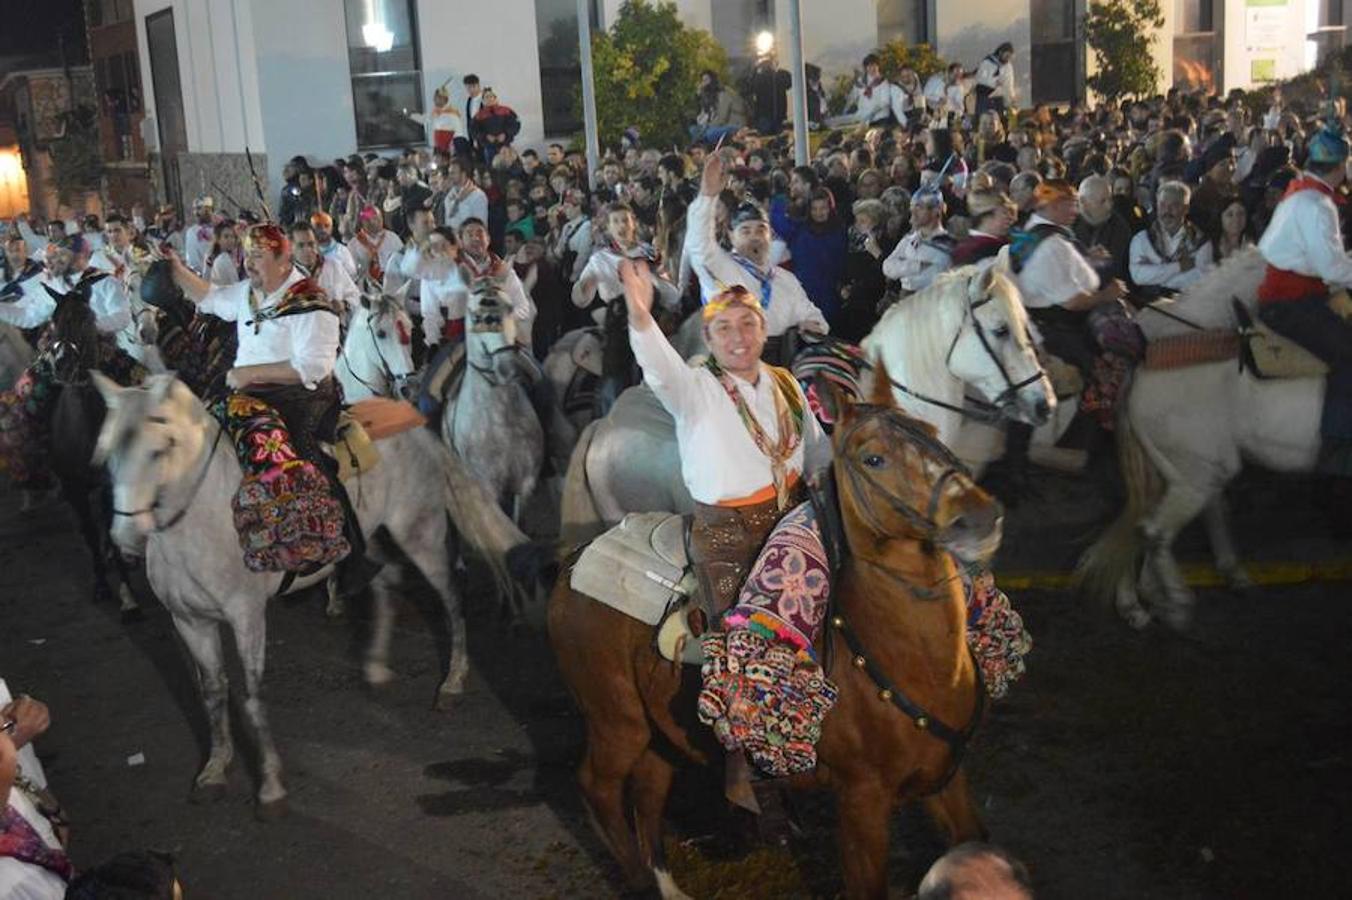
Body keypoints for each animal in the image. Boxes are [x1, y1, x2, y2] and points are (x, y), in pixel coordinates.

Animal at [91, 370, 527, 810]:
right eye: (107, 454)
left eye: (159, 450)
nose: (124, 539)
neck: (199, 520)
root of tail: (420, 431)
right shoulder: (189, 621)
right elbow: (213, 693)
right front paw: (214, 769)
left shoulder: (247, 617)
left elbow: (251, 695)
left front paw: (270, 785)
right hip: (371, 538)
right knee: (386, 581)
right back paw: (376, 667)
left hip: (420, 532)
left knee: (450, 596)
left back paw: (452, 682)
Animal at [548, 381, 1005, 897]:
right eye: (873, 458)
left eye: (931, 433)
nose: (980, 516)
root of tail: (574, 564)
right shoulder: (862, 800)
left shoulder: (949, 781)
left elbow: (972, 845)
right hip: (615, 720)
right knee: (598, 788)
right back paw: (643, 880)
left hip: (657, 731)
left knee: (647, 791)